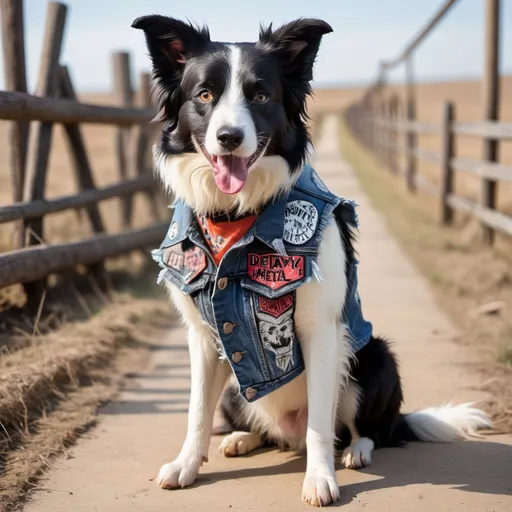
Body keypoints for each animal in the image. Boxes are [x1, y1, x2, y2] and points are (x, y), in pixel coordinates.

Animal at [133, 17, 492, 508]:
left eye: (261, 96)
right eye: (204, 95)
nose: (229, 137)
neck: (236, 216)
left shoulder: (320, 329)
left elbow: (321, 425)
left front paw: (320, 480)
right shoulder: (204, 336)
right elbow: (196, 411)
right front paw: (186, 465)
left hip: (374, 357)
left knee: (364, 429)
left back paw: (357, 450)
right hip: (236, 392)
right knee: (262, 428)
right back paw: (241, 439)